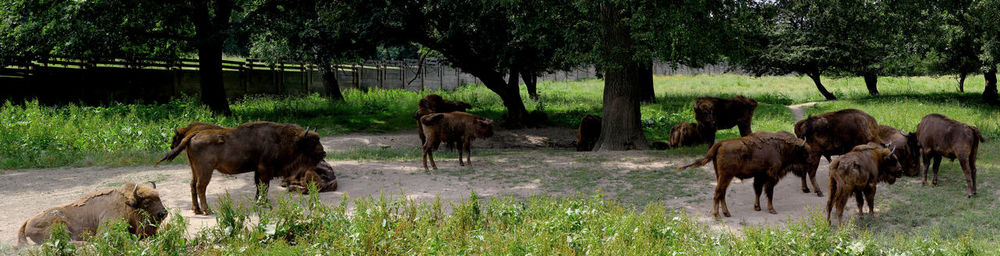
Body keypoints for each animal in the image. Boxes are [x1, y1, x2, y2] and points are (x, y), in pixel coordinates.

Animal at [16, 182, 166, 246]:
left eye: (159, 197)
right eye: (146, 202)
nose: (163, 213)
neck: (126, 205)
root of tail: (28, 221)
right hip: (60, 226)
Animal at [154, 122, 324, 214]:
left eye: (318, 139)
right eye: (312, 142)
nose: (324, 153)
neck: (281, 138)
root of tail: (193, 135)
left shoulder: (259, 171)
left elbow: (259, 186)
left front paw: (259, 202)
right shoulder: (265, 170)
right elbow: (264, 186)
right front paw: (263, 203)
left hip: (194, 170)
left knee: (192, 185)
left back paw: (196, 210)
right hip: (205, 171)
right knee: (200, 187)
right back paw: (207, 210)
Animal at [676, 132, 816, 218]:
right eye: (804, 151)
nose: (811, 162)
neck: (780, 147)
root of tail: (720, 143)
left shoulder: (759, 176)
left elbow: (758, 191)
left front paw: (757, 207)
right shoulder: (771, 176)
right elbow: (769, 193)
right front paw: (772, 210)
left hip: (721, 176)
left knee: (722, 194)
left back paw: (726, 213)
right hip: (726, 176)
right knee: (718, 193)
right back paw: (717, 215)